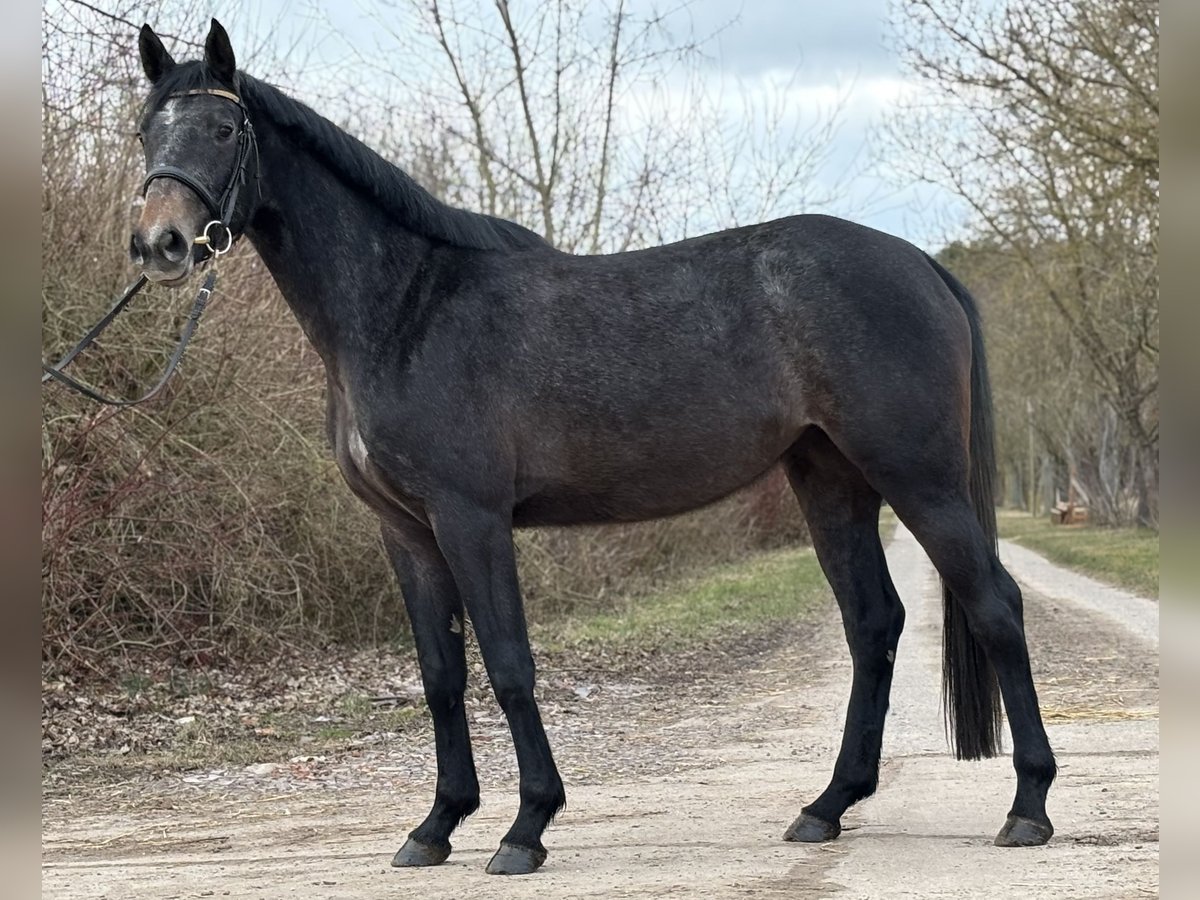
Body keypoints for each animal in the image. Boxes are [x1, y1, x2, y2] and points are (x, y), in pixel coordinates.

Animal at [126, 17, 1056, 883]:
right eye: (144, 131)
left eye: (223, 128)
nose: (159, 244)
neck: (406, 309)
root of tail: (920, 263)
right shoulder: (407, 533)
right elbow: (440, 678)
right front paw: (436, 826)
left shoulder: (471, 520)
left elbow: (508, 666)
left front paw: (525, 828)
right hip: (830, 479)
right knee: (873, 623)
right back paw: (827, 807)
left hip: (920, 478)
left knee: (995, 606)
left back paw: (1028, 808)